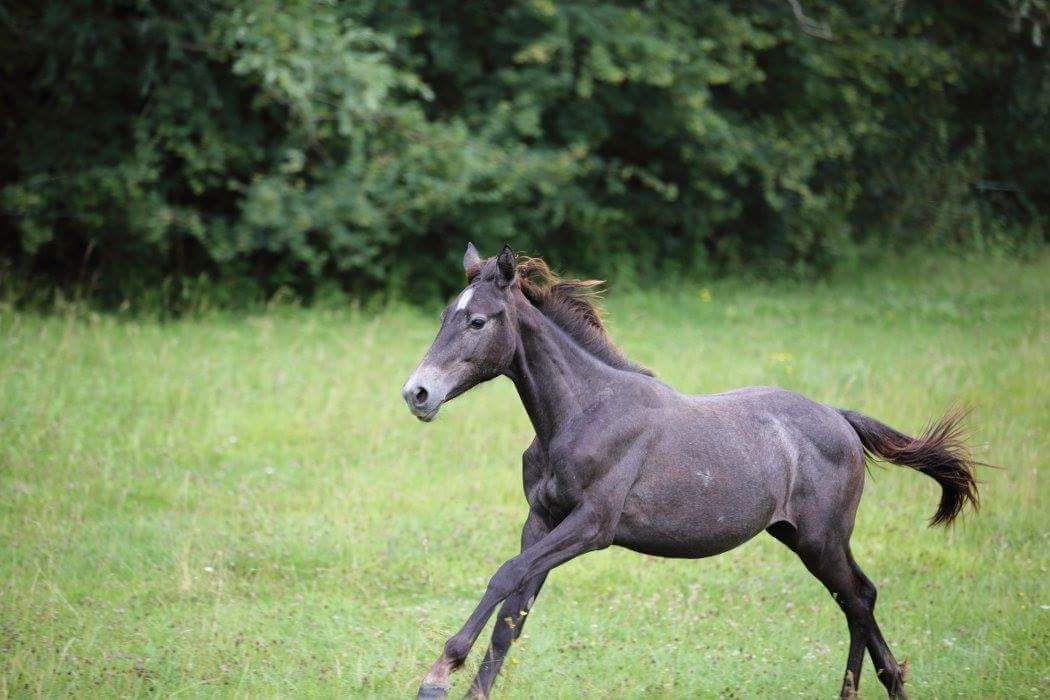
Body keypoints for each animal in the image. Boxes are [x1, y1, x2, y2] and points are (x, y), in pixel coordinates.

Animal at [401, 244, 979, 699]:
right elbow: (512, 616)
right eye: (444, 315)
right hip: (803, 537)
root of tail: (840, 418)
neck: (584, 412)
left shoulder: (591, 526)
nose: (417, 393)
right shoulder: (542, 520)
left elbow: (505, 576)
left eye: (477, 321)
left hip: (822, 539)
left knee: (858, 598)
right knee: (859, 599)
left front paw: (438, 674)